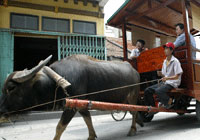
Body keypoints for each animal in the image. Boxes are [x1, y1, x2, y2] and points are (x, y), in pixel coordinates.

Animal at [0, 54, 141, 140]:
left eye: (11, 87)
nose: (1, 110)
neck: (56, 81)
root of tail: (135, 71)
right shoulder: (82, 104)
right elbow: (87, 119)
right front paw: (91, 136)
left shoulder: (70, 107)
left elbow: (59, 127)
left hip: (133, 96)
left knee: (134, 112)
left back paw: (132, 130)